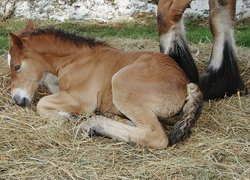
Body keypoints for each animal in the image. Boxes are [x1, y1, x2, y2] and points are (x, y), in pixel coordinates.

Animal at [8, 23, 203, 148]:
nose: (17, 100)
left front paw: (68, 116)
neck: (75, 60)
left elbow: (42, 104)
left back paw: (92, 125)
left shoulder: (83, 101)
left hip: (121, 82)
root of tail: (185, 83)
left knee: (155, 135)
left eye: (17, 66)